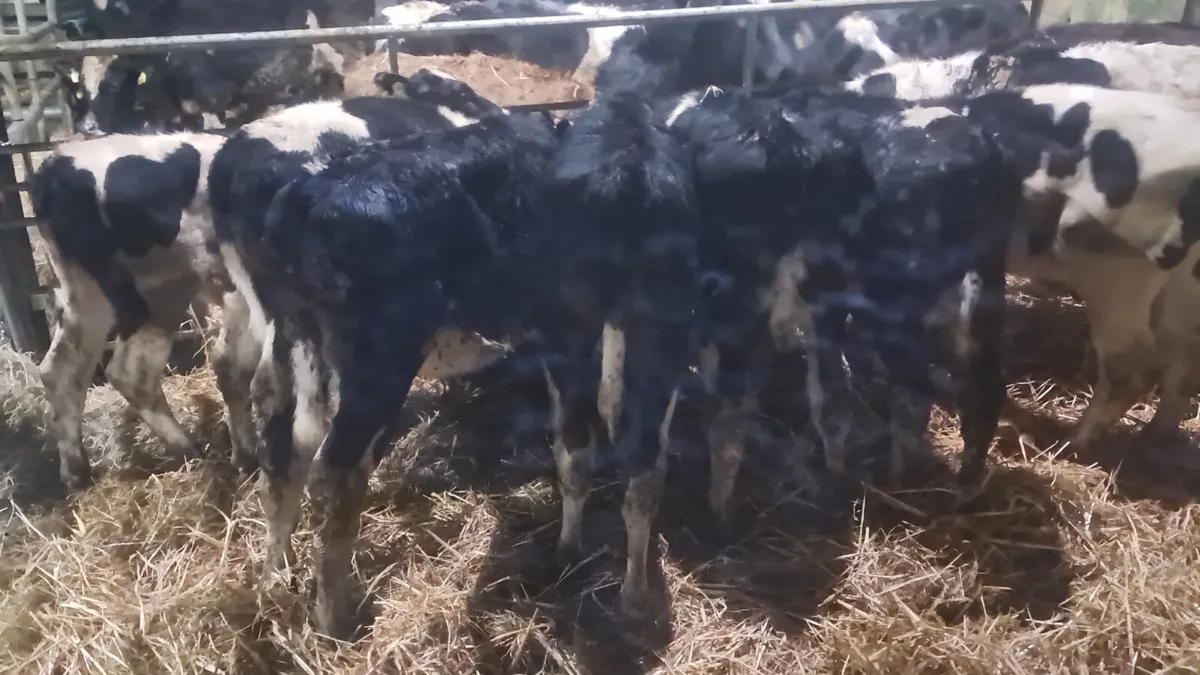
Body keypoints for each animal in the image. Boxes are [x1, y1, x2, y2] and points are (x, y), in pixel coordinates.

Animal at [28, 131, 261, 490]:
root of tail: (58, 160)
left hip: (133, 294)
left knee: (79, 370)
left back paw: (81, 470)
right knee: (227, 367)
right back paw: (234, 455)